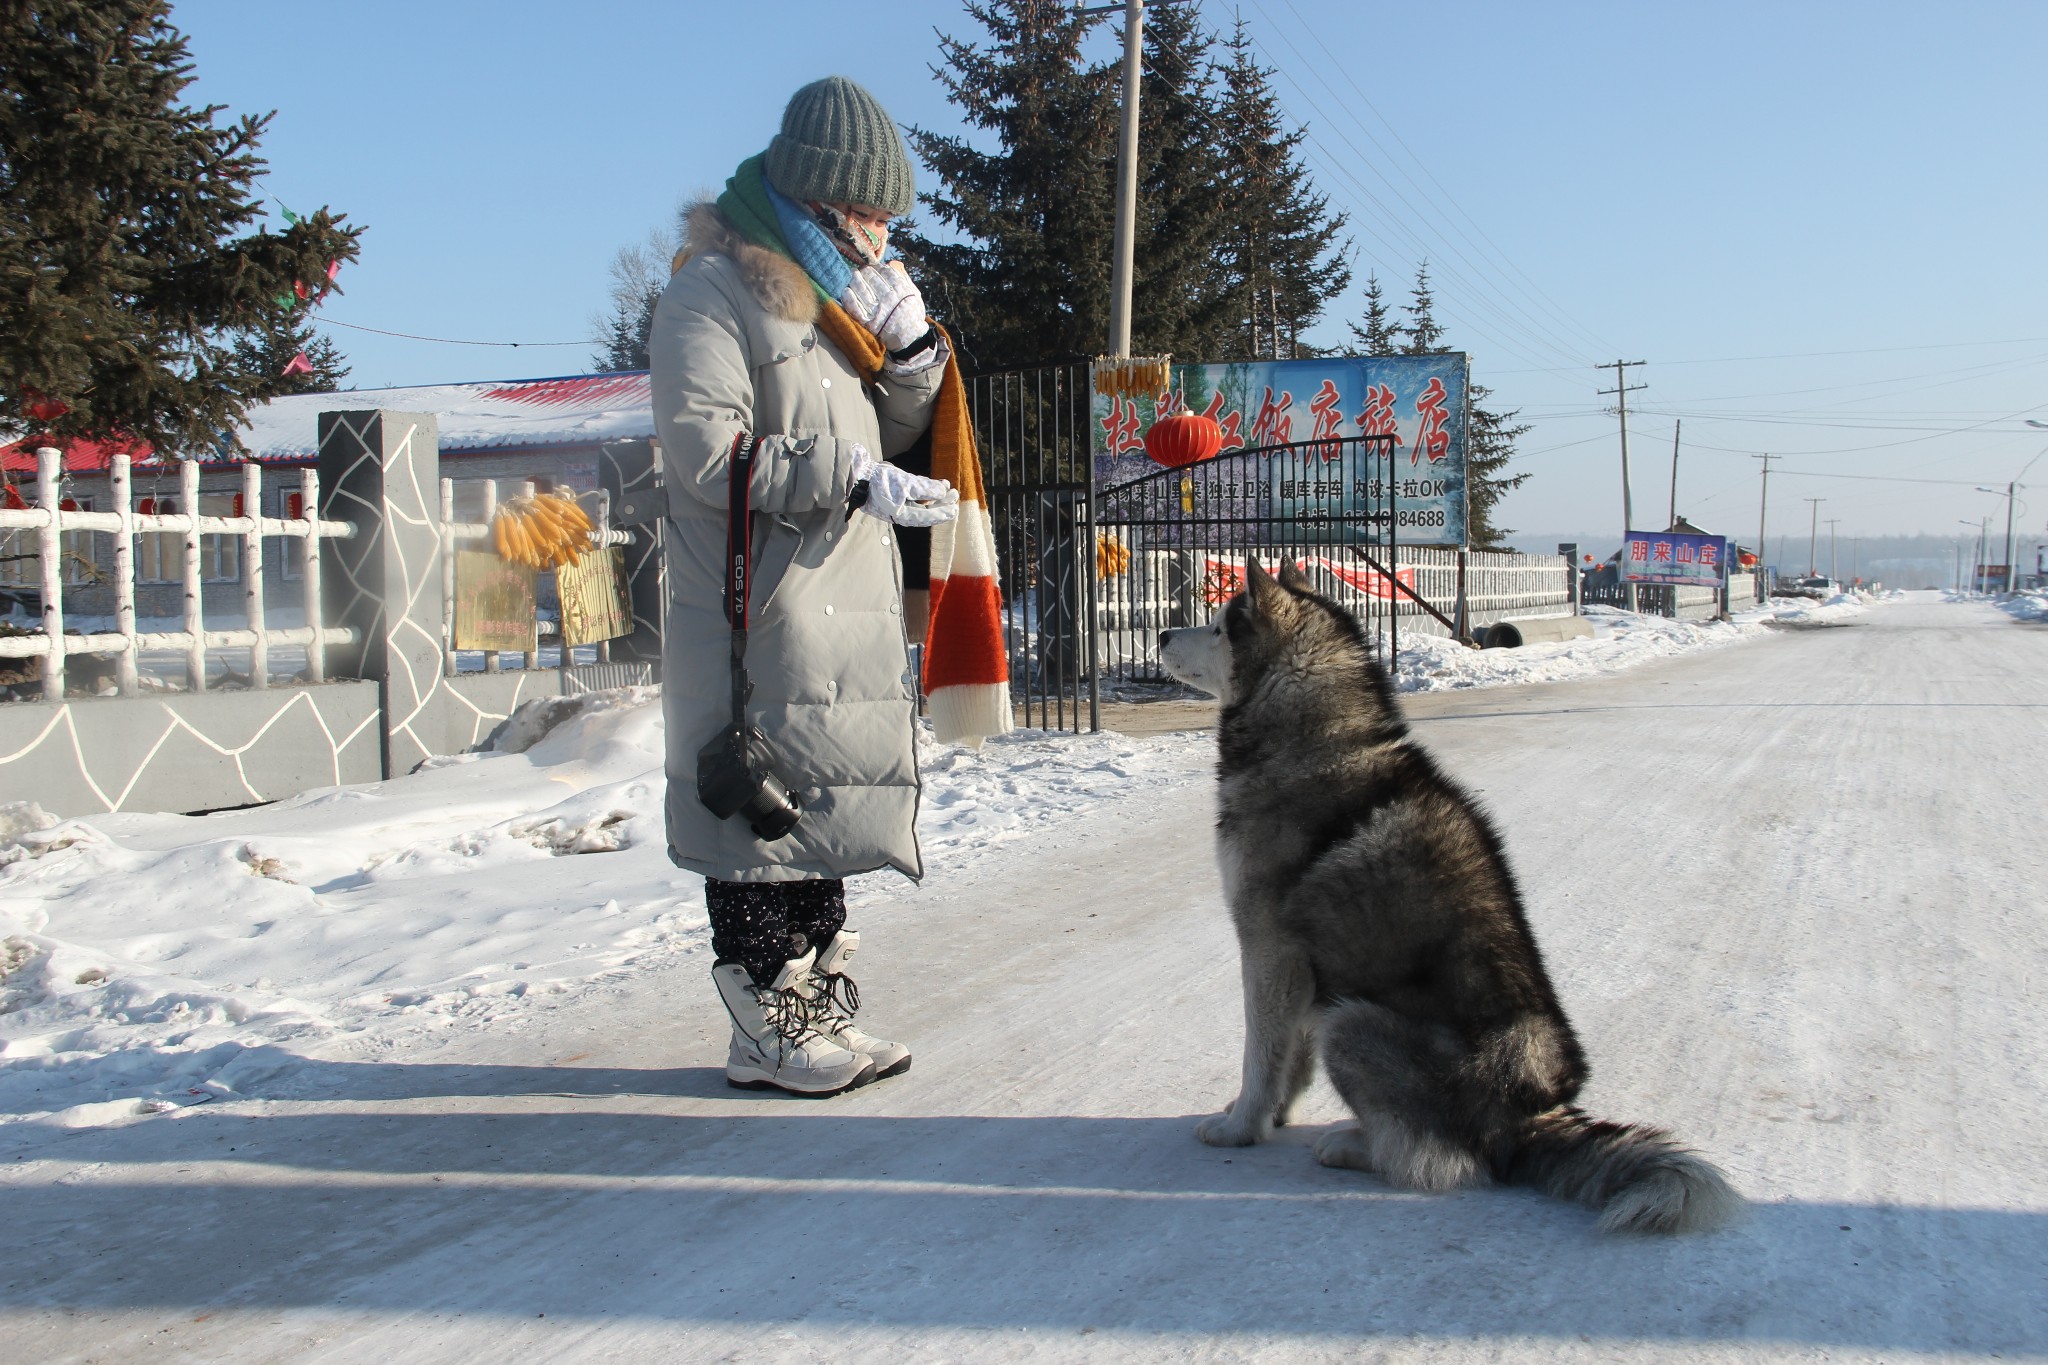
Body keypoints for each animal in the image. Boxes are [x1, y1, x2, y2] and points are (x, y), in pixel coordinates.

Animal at [1163, 560, 1736, 1236]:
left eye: (1219, 625)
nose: (1165, 632)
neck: (1313, 739)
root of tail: (1527, 1120)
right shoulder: (1304, 967)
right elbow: (1286, 1061)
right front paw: (1270, 1115)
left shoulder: (1270, 951)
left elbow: (1261, 1054)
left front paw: (1240, 1126)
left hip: (1349, 1022)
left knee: (1440, 1160)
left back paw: (1355, 1145)